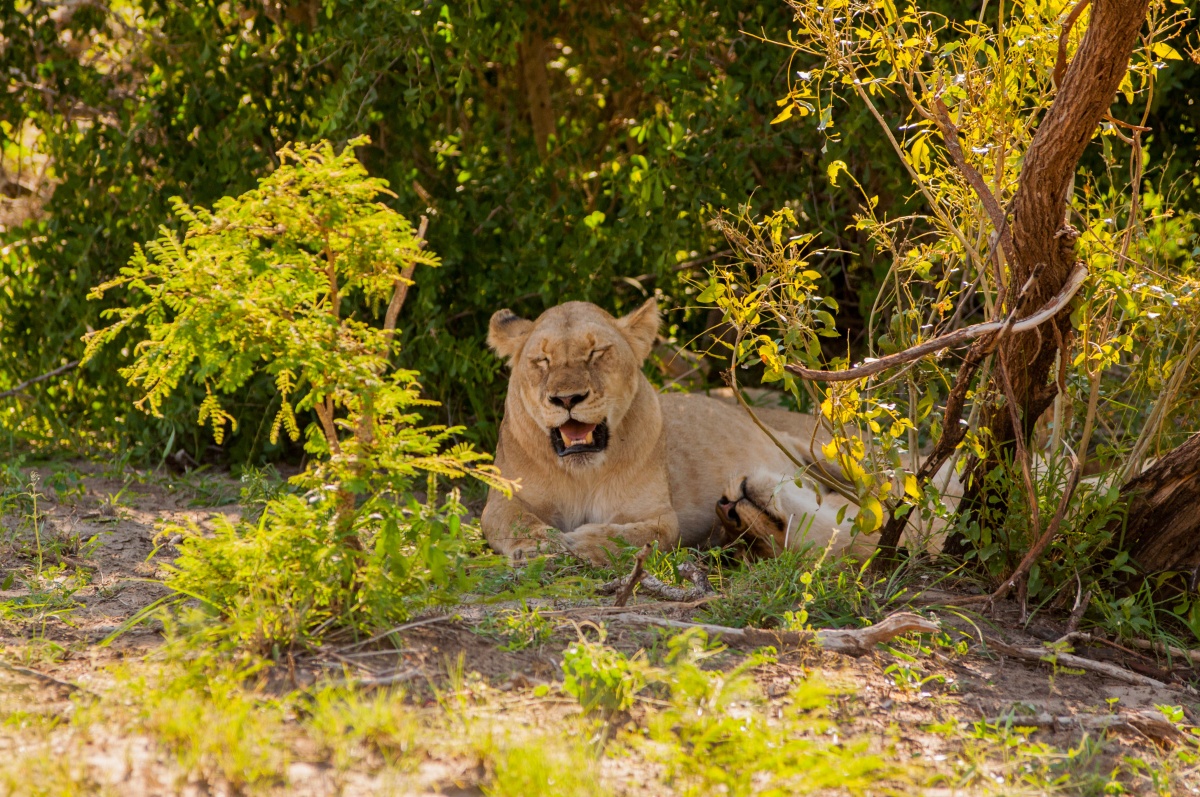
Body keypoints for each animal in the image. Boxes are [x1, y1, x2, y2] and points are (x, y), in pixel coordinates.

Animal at [481, 298, 878, 565]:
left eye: (597, 353)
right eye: (542, 361)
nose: (566, 398)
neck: (582, 473)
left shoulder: (659, 514)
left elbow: (641, 535)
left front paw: (585, 543)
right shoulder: (502, 500)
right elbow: (515, 522)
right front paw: (539, 545)